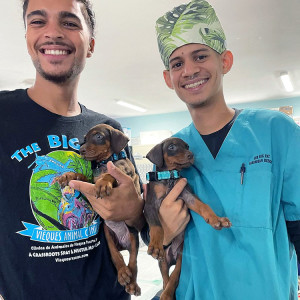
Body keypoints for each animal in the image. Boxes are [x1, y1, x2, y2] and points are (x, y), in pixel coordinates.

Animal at [56, 123, 142, 296]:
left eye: (98, 136)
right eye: (84, 139)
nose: (81, 150)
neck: (106, 161)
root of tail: (124, 244)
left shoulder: (125, 174)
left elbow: (111, 174)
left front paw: (103, 182)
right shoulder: (90, 184)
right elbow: (82, 176)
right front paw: (68, 175)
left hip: (133, 235)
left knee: (133, 262)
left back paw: (132, 284)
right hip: (108, 234)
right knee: (116, 256)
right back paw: (122, 273)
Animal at [144, 137, 231, 300]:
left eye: (187, 146)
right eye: (171, 147)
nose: (191, 155)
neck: (170, 177)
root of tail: (172, 256)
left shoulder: (188, 196)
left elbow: (204, 206)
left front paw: (216, 219)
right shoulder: (150, 206)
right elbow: (157, 227)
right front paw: (156, 245)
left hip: (181, 258)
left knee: (174, 277)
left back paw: (167, 293)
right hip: (163, 262)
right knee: (165, 277)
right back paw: (165, 292)